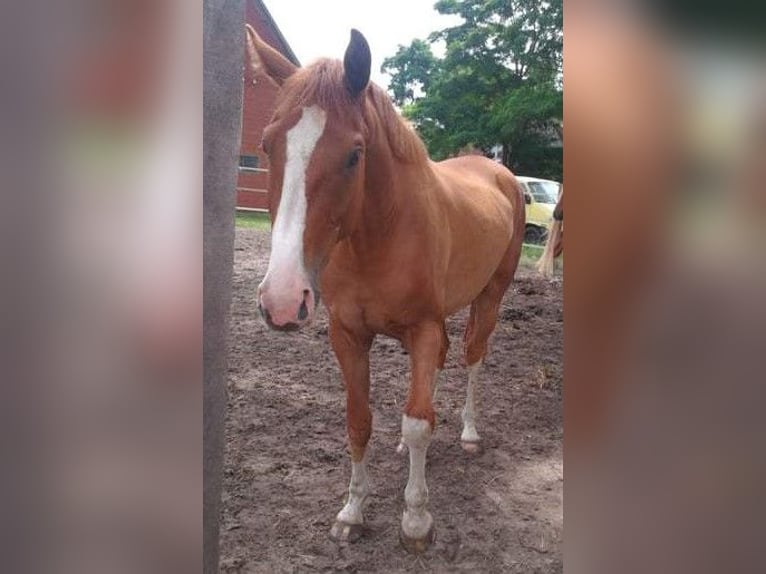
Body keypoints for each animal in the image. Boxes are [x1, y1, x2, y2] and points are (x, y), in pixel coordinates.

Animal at [246, 27, 528, 552]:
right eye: (267, 145)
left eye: (354, 154)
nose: (282, 300)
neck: (380, 234)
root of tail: (498, 171)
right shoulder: (348, 335)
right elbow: (360, 421)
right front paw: (352, 513)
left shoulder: (422, 328)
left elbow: (417, 422)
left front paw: (416, 521)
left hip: (489, 297)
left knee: (473, 357)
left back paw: (469, 433)